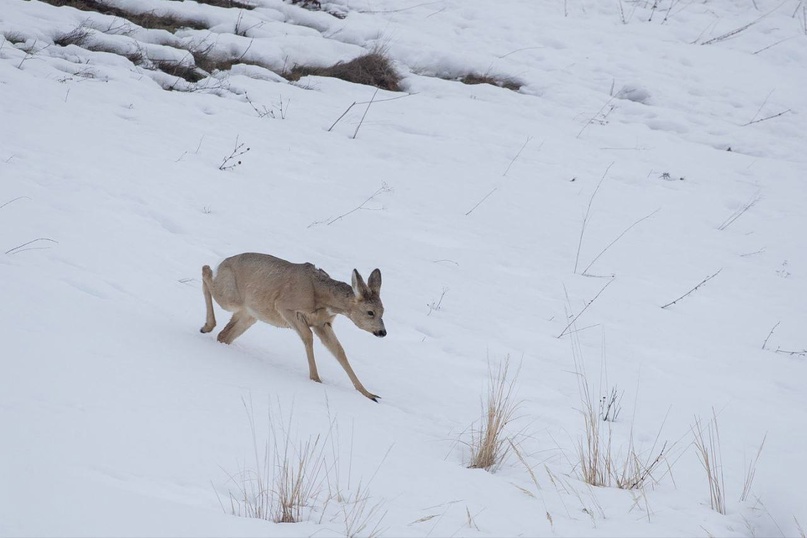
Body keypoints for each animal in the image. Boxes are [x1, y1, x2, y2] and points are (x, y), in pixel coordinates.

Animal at [200, 253, 386, 400]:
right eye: (370, 312)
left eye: (383, 310)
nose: (382, 332)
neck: (322, 298)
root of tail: (223, 262)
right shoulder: (285, 307)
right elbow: (308, 337)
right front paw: (316, 379)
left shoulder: (322, 323)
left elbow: (339, 351)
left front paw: (368, 394)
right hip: (230, 298)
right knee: (205, 270)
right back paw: (207, 326)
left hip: (249, 316)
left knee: (224, 335)